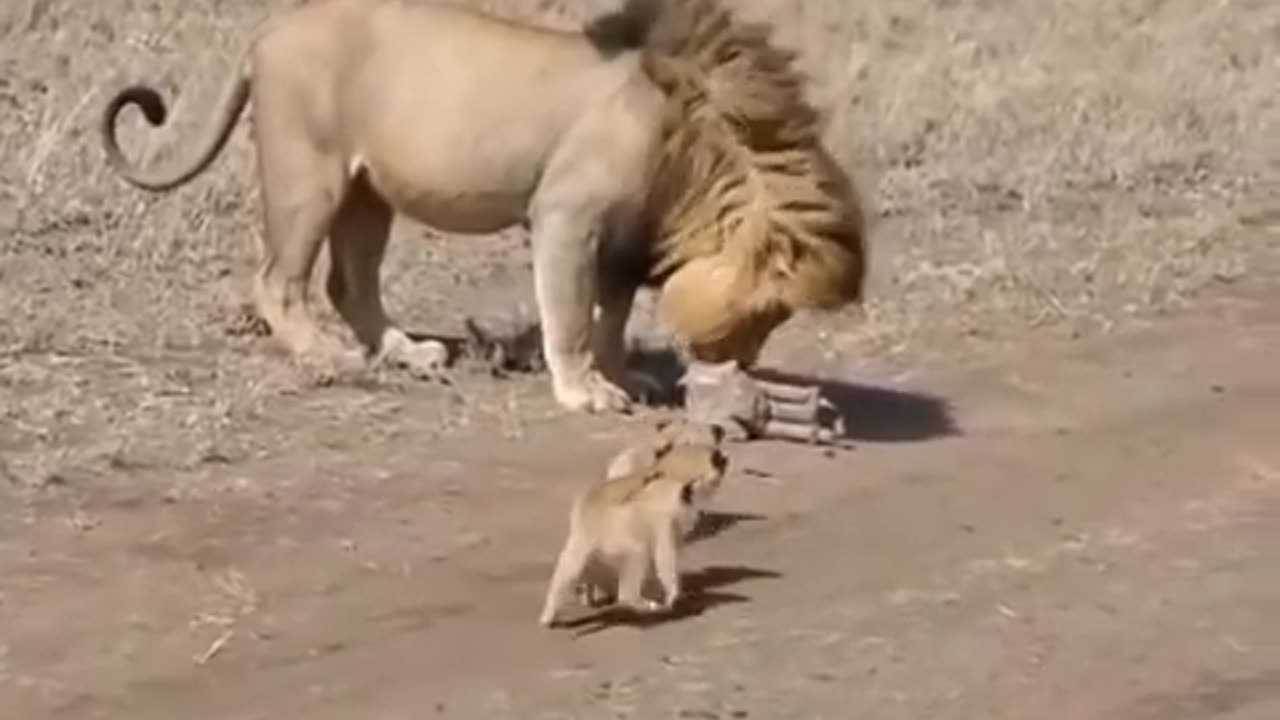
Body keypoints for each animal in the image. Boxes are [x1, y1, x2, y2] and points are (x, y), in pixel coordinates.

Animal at [102, 0, 870, 412]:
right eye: (770, 312)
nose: (741, 364)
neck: (698, 144)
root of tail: (267, 34)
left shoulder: (626, 236)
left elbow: (612, 316)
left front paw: (623, 375)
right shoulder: (566, 216)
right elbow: (570, 316)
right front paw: (585, 392)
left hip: (367, 191)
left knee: (350, 283)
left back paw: (406, 352)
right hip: (308, 174)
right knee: (278, 282)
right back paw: (329, 358)